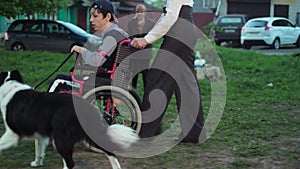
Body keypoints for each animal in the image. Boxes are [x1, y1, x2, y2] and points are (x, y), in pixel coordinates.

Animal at [0, 69, 139, 168]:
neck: (10, 84)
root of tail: (86, 106)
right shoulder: (39, 133)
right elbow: (39, 148)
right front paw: (36, 163)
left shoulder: (13, 133)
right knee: (108, 149)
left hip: (61, 138)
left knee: (70, 163)